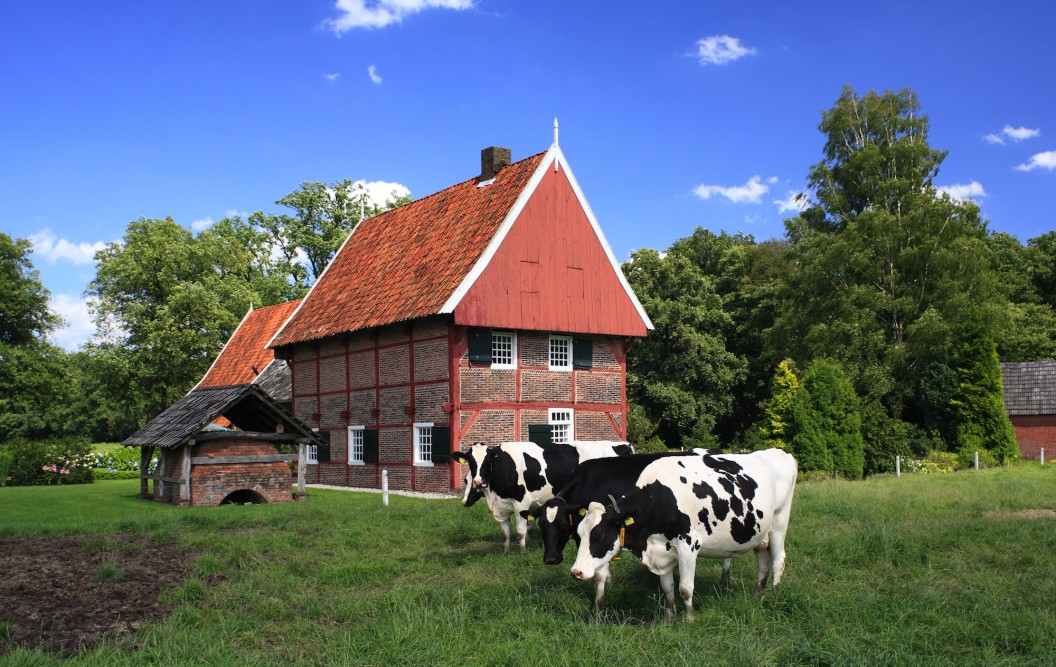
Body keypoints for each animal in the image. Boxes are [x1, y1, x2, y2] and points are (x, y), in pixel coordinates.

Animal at [449, 443, 629, 553]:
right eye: (471, 463)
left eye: (487, 462)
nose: (479, 482)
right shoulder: (503, 506)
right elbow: (505, 534)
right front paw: (506, 551)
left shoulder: (521, 504)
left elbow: (520, 532)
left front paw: (522, 552)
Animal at [566, 447, 794, 620]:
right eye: (578, 534)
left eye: (598, 535)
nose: (576, 572)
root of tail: (779, 452)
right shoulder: (661, 549)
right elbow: (667, 587)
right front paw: (670, 617)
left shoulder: (688, 545)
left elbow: (685, 588)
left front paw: (689, 619)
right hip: (760, 533)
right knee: (763, 561)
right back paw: (757, 596)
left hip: (779, 523)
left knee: (778, 560)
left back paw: (774, 596)